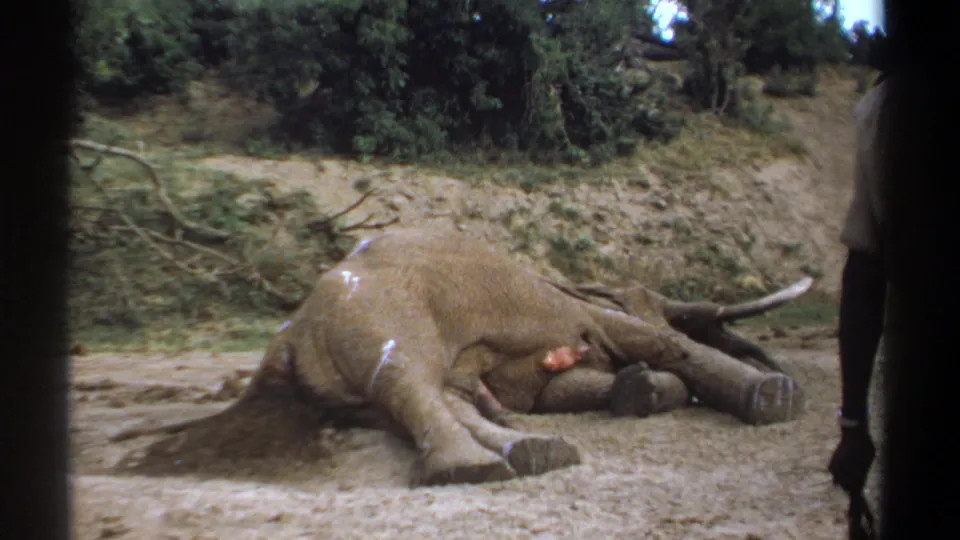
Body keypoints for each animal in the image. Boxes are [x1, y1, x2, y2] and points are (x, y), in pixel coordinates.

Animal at [111, 226, 811, 487]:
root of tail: (284, 342)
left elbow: (566, 387)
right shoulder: (577, 312)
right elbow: (655, 341)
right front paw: (775, 399)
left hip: (345, 381)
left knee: (421, 401)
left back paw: (531, 452)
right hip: (383, 317)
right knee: (411, 383)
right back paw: (474, 469)